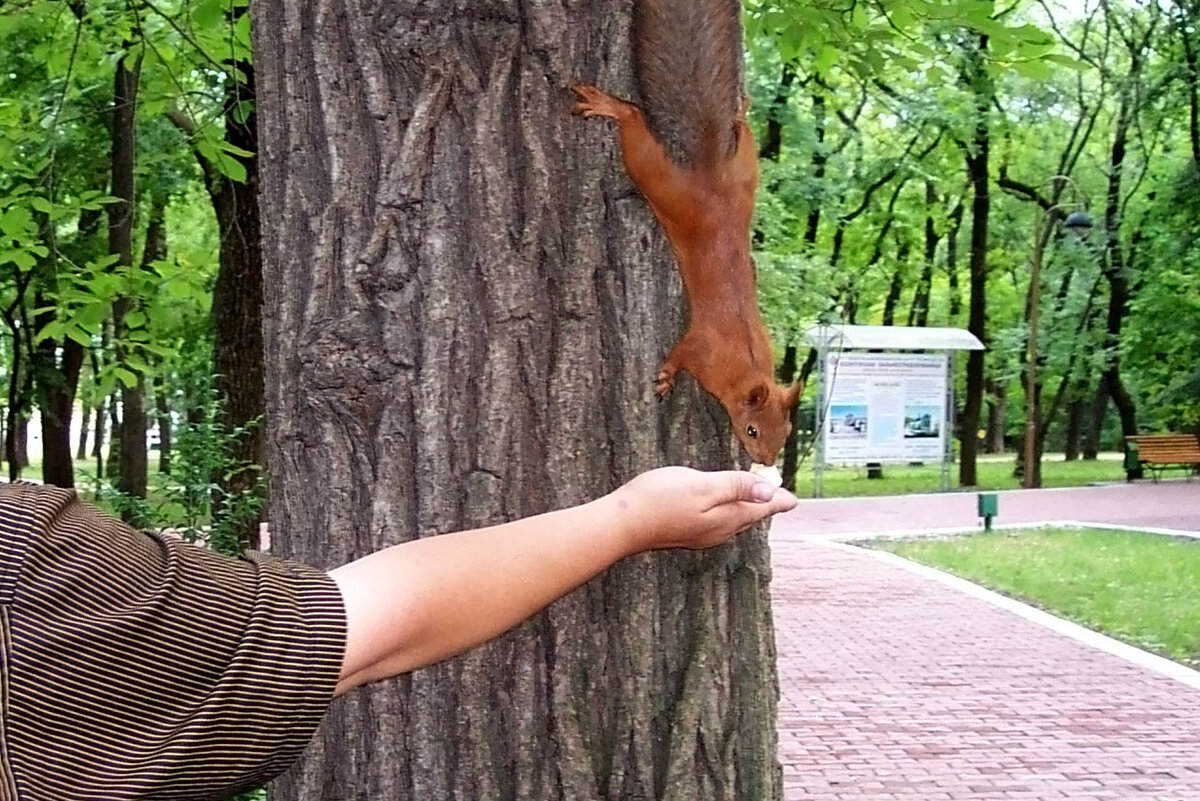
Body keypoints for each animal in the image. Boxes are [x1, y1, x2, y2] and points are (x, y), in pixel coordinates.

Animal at [573, 0, 801, 465]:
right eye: (751, 430)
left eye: (786, 432)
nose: (767, 461)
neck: (748, 365)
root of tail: (709, 175)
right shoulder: (700, 347)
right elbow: (679, 353)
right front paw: (665, 377)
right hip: (659, 177)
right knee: (635, 124)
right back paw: (612, 107)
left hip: (745, 172)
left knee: (743, 137)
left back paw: (741, 112)